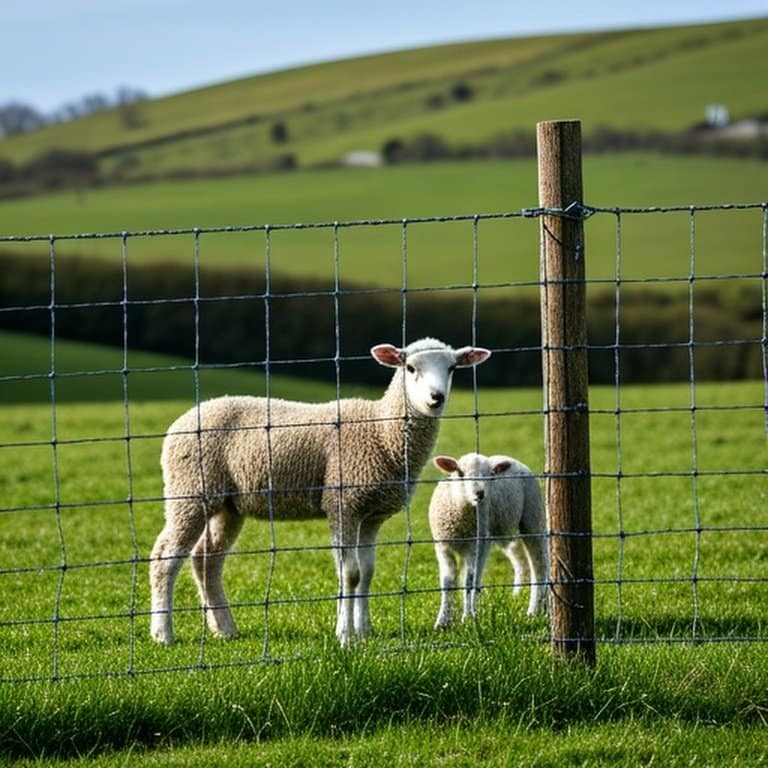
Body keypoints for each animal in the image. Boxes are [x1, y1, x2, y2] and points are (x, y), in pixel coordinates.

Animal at [149, 338, 491, 647]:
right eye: (409, 368)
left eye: (452, 368)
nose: (436, 398)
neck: (381, 430)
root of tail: (183, 420)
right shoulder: (343, 503)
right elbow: (350, 573)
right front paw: (345, 635)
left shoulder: (371, 514)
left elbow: (367, 572)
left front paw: (364, 631)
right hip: (190, 491)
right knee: (165, 557)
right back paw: (163, 634)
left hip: (227, 505)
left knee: (206, 559)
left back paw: (224, 628)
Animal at [428, 452, 548, 628]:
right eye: (460, 473)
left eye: (490, 475)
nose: (480, 493)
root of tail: (510, 458)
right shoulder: (443, 547)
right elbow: (447, 582)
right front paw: (443, 621)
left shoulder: (476, 546)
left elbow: (469, 581)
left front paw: (467, 618)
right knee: (520, 559)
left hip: (532, 516)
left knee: (539, 564)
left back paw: (534, 610)